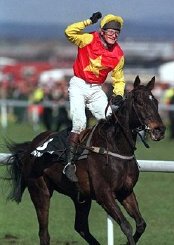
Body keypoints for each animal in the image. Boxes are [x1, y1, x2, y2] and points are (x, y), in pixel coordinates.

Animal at [3, 76, 165, 245]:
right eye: (139, 102)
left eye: (156, 102)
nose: (159, 130)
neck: (116, 148)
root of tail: (31, 146)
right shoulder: (104, 194)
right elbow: (126, 225)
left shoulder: (125, 192)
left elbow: (141, 224)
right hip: (40, 191)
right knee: (44, 233)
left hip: (80, 196)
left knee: (81, 227)